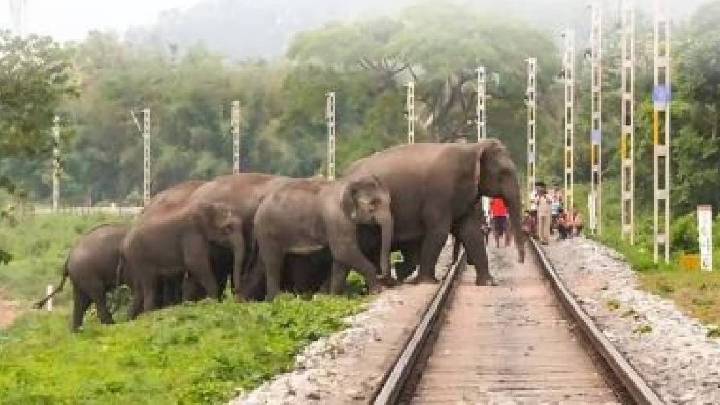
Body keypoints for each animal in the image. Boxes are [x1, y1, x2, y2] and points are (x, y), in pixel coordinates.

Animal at [254, 175, 393, 300]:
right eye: (373, 204)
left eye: (389, 201)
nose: (383, 276)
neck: (348, 183)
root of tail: (261, 203)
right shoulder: (336, 217)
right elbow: (343, 252)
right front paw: (377, 291)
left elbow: (340, 259)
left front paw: (334, 297)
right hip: (266, 231)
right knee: (274, 262)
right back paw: (277, 299)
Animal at [344, 139, 524, 286]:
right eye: (504, 172)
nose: (521, 261)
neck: (473, 148)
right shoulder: (439, 194)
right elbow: (439, 232)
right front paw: (426, 282)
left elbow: (471, 232)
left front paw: (489, 283)